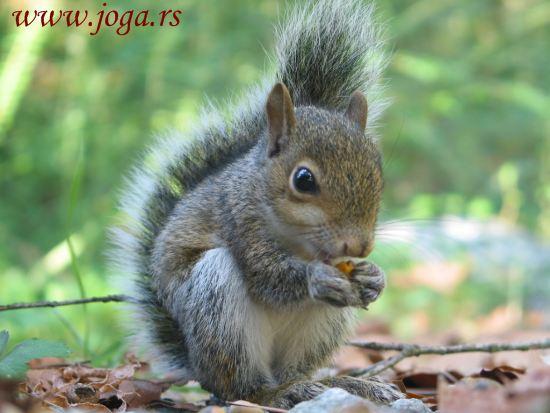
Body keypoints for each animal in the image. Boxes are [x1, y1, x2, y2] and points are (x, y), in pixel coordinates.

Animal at [111, 0, 406, 408]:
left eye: (377, 170)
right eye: (303, 179)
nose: (360, 246)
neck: (301, 242)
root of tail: (198, 368)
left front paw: (374, 276)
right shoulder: (239, 220)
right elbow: (267, 276)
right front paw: (316, 278)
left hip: (323, 327)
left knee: (296, 370)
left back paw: (343, 385)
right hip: (215, 302)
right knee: (242, 388)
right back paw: (279, 393)